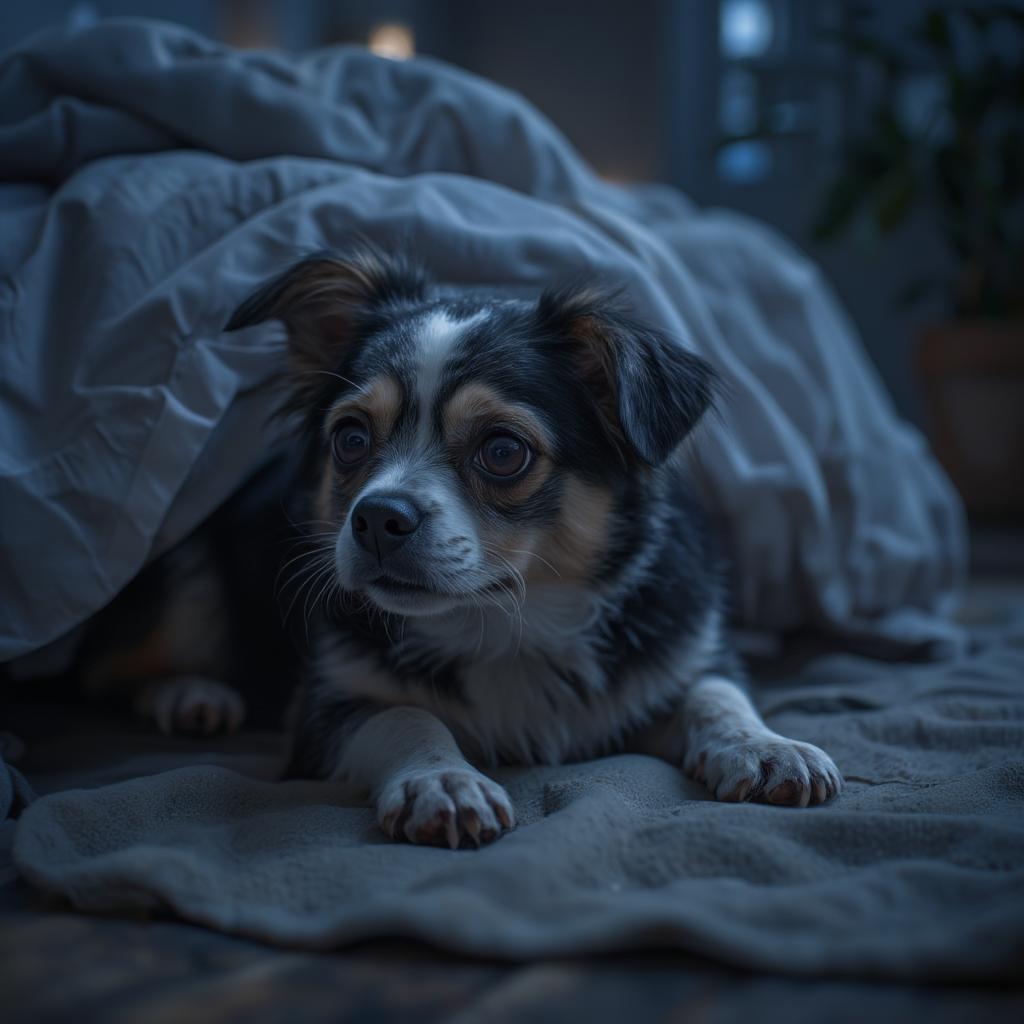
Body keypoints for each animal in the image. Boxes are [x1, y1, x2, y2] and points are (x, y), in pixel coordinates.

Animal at [216, 247, 839, 847]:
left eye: (502, 451)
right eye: (350, 438)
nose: (375, 517)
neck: (506, 621)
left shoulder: (680, 662)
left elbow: (715, 694)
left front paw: (765, 746)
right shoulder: (320, 715)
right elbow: (404, 716)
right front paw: (443, 780)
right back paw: (202, 702)